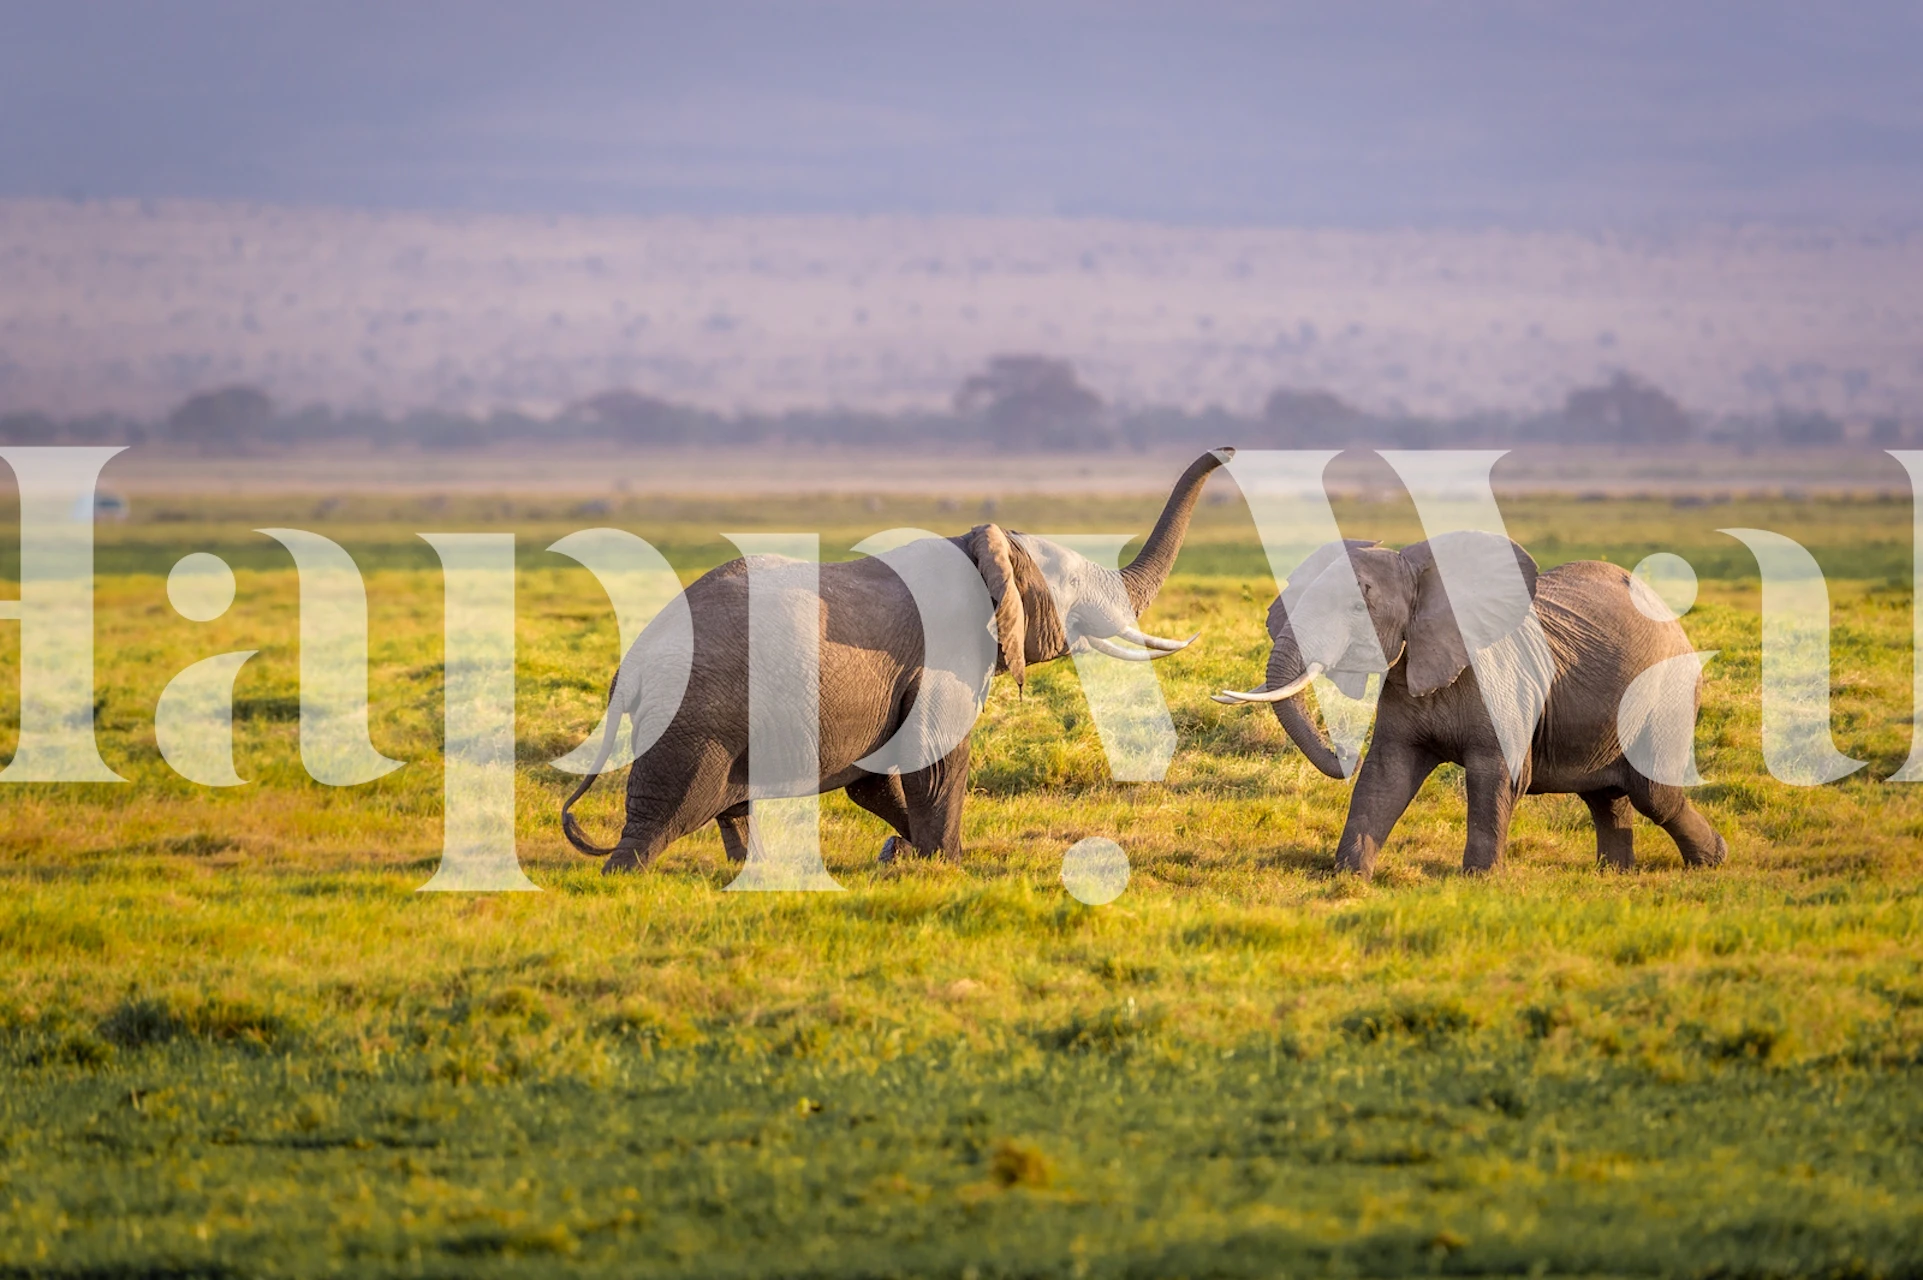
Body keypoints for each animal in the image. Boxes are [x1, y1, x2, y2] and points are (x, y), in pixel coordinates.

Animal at [562, 449, 1232, 873]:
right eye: (1069, 583)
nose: (1225, 448)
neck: (982, 545)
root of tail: (628, 669)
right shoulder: (945, 654)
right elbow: (935, 756)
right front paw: (945, 865)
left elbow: (874, 776)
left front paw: (899, 856)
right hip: (695, 717)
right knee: (670, 806)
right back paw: (628, 874)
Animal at [1216, 532, 1727, 877]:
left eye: (1359, 608)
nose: (1343, 752)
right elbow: (1386, 775)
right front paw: (1349, 875)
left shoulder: (1503, 681)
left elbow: (1497, 773)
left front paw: (1479, 881)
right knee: (1607, 798)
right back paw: (1614, 874)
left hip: (1665, 692)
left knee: (1653, 793)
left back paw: (1713, 860)